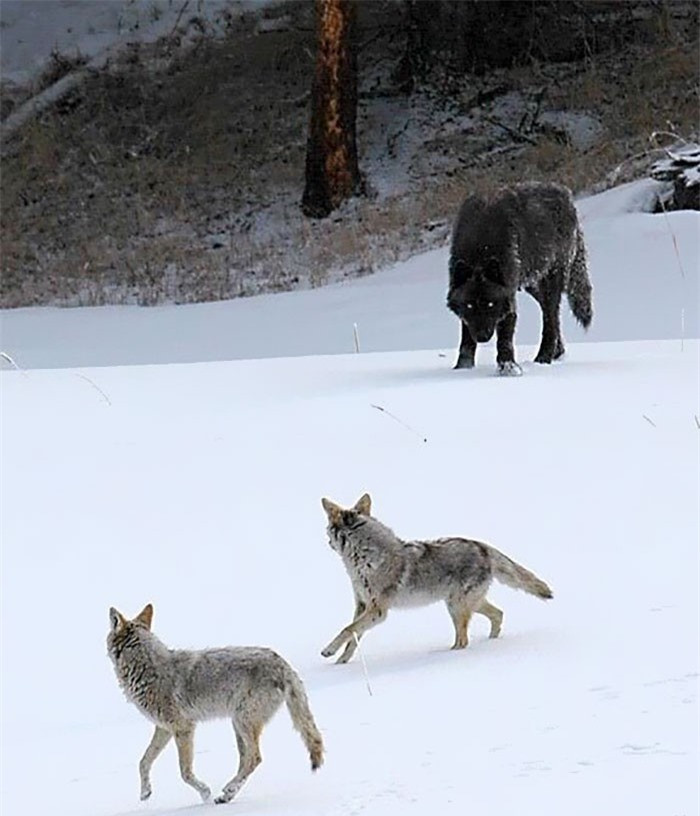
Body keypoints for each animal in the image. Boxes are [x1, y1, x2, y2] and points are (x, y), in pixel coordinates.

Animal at [107, 604, 323, 805]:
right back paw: (227, 795)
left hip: (243, 722)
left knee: (255, 758)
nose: (110, 610)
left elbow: (185, 772)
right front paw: (145, 792)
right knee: (246, 760)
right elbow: (143, 761)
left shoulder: (184, 729)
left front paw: (205, 793)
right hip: (238, 726)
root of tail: (284, 664)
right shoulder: (164, 729)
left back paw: (228, 789)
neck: (146, 669)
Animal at [320, 494, 552, 664]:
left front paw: (328, 651)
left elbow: (347, 629)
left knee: (464, 640)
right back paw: (491, 642)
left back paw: (447, 654)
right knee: (498, 614)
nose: (327, 543)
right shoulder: (362, 606)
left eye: (327, 531)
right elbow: (353, 638)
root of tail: (482, 546)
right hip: (463, 604)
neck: (363, 559)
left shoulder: (378, 611)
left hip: (457, 607)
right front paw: (341, 662)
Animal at [447, 182, 593, 375]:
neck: (480, 249)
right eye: (469, 305)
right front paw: (462, 368)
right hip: (532, 285)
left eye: (491, 304)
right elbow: (466, 339)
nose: (483, 337)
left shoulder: (508, 297)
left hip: (551, 281)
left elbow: (505, 338)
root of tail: (566, 194)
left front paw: (507, 368)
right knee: (549, 312)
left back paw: (544, 358)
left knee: (551, 318)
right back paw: (557, 352)